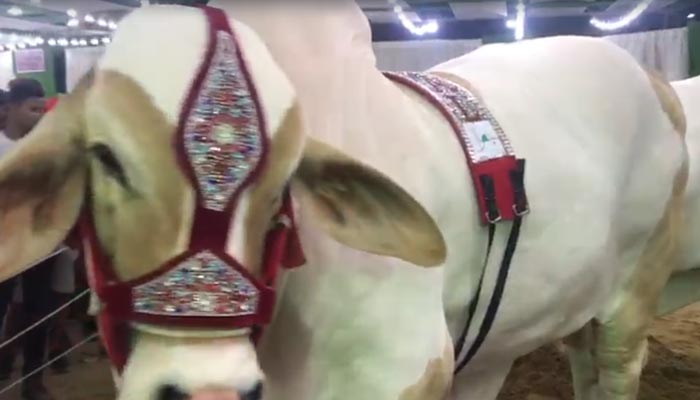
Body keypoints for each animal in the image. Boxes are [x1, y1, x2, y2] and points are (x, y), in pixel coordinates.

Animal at [0, 3, 688, 400]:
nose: (207, 390)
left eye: (286, 181)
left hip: (632, 301)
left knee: (617, 366)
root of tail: (653, 80)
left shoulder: (401, 373)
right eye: (106, 156)